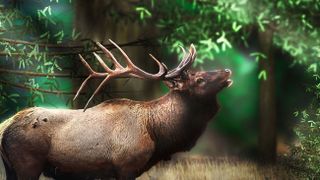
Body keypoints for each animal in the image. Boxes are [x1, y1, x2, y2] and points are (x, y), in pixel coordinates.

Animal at [0, 39, 232, 179]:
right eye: (199, 79)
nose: (227, 71)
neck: (157, 134)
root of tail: (5, 126)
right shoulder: (125, 165)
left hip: (11, 168)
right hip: (27, 163)